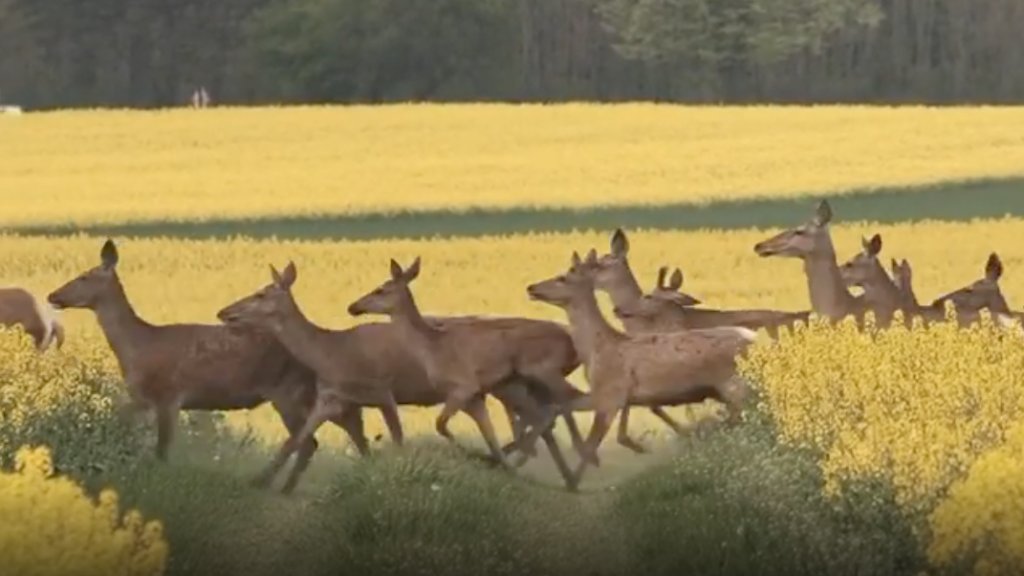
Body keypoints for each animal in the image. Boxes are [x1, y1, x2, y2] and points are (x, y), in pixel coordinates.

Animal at [46, 237, 317, 494]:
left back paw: (272, 485)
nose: (52, 295)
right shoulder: (143, 398)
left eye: (83, 276)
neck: (139, 346)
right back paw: (283, 486)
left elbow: (162, 450)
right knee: (307, 441)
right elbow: (122, 417)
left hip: (289, 391)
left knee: (306, 441)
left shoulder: (169, 395)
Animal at [216, 260, 585, 487]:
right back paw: (561, 475)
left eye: (261, 293)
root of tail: (569, 338)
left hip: (511, 387)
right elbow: (297, 439)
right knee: (546, 418)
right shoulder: (330, 397)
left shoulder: (383, 392)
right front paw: (260, 480)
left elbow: (395, 439)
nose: (223, 312)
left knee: (549, 416)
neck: (332, 353)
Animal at [528, 249, 753, 481]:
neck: (596, 351)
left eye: (563, 277)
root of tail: (754, 340)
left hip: (734, 385)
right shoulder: (607, 395)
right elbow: (557, 409)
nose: (531, 288)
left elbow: (592, 443)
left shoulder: (611, 394)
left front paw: (573, 479)